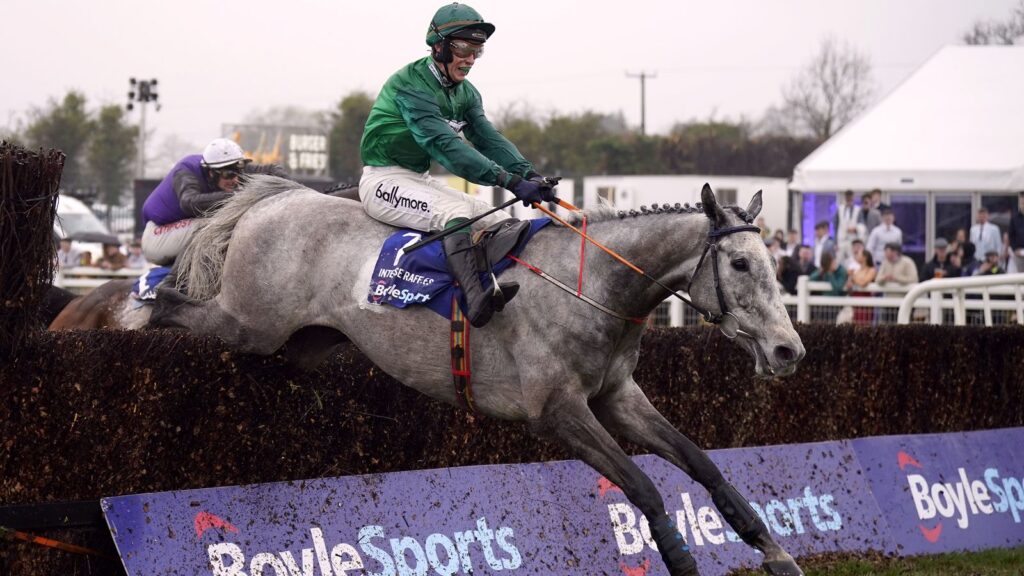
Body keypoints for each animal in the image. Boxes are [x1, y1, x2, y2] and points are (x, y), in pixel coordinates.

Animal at [151, 175, 806, 573]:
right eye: (740, 263)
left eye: (773, 264)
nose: (788, 350)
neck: (593, 285)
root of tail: (275, 198)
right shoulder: (557, 412)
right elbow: (642, 486)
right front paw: (683, 559)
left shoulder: (617, 395)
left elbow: (700, 462)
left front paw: (774, 549)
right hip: (248, 324)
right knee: (171, 305)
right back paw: (143, 305)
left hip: (304, 343)